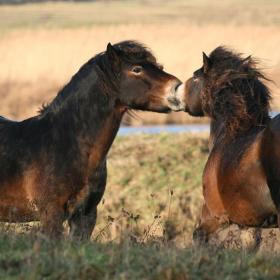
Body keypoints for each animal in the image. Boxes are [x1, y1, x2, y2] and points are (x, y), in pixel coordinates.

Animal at [0, 40, 182, 240]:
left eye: (159, 67)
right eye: (136, 69)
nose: (177, 88)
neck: (64, 143)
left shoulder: (86, 215)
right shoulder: (51, 214)